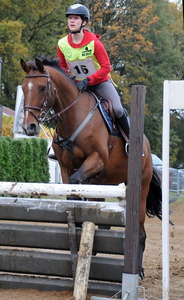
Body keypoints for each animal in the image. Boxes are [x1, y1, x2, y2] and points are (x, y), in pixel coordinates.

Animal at [19, 56, 162, 278]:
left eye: (43, 88)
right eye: (25, 89)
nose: (29, 127)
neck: (73, 116)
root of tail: (146, 144)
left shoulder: (97, 159)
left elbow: (77, 184)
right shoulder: (65, 168)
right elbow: (72, 194)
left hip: (141, 187)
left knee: (140, 231)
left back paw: (137, 270)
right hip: (103, 184)